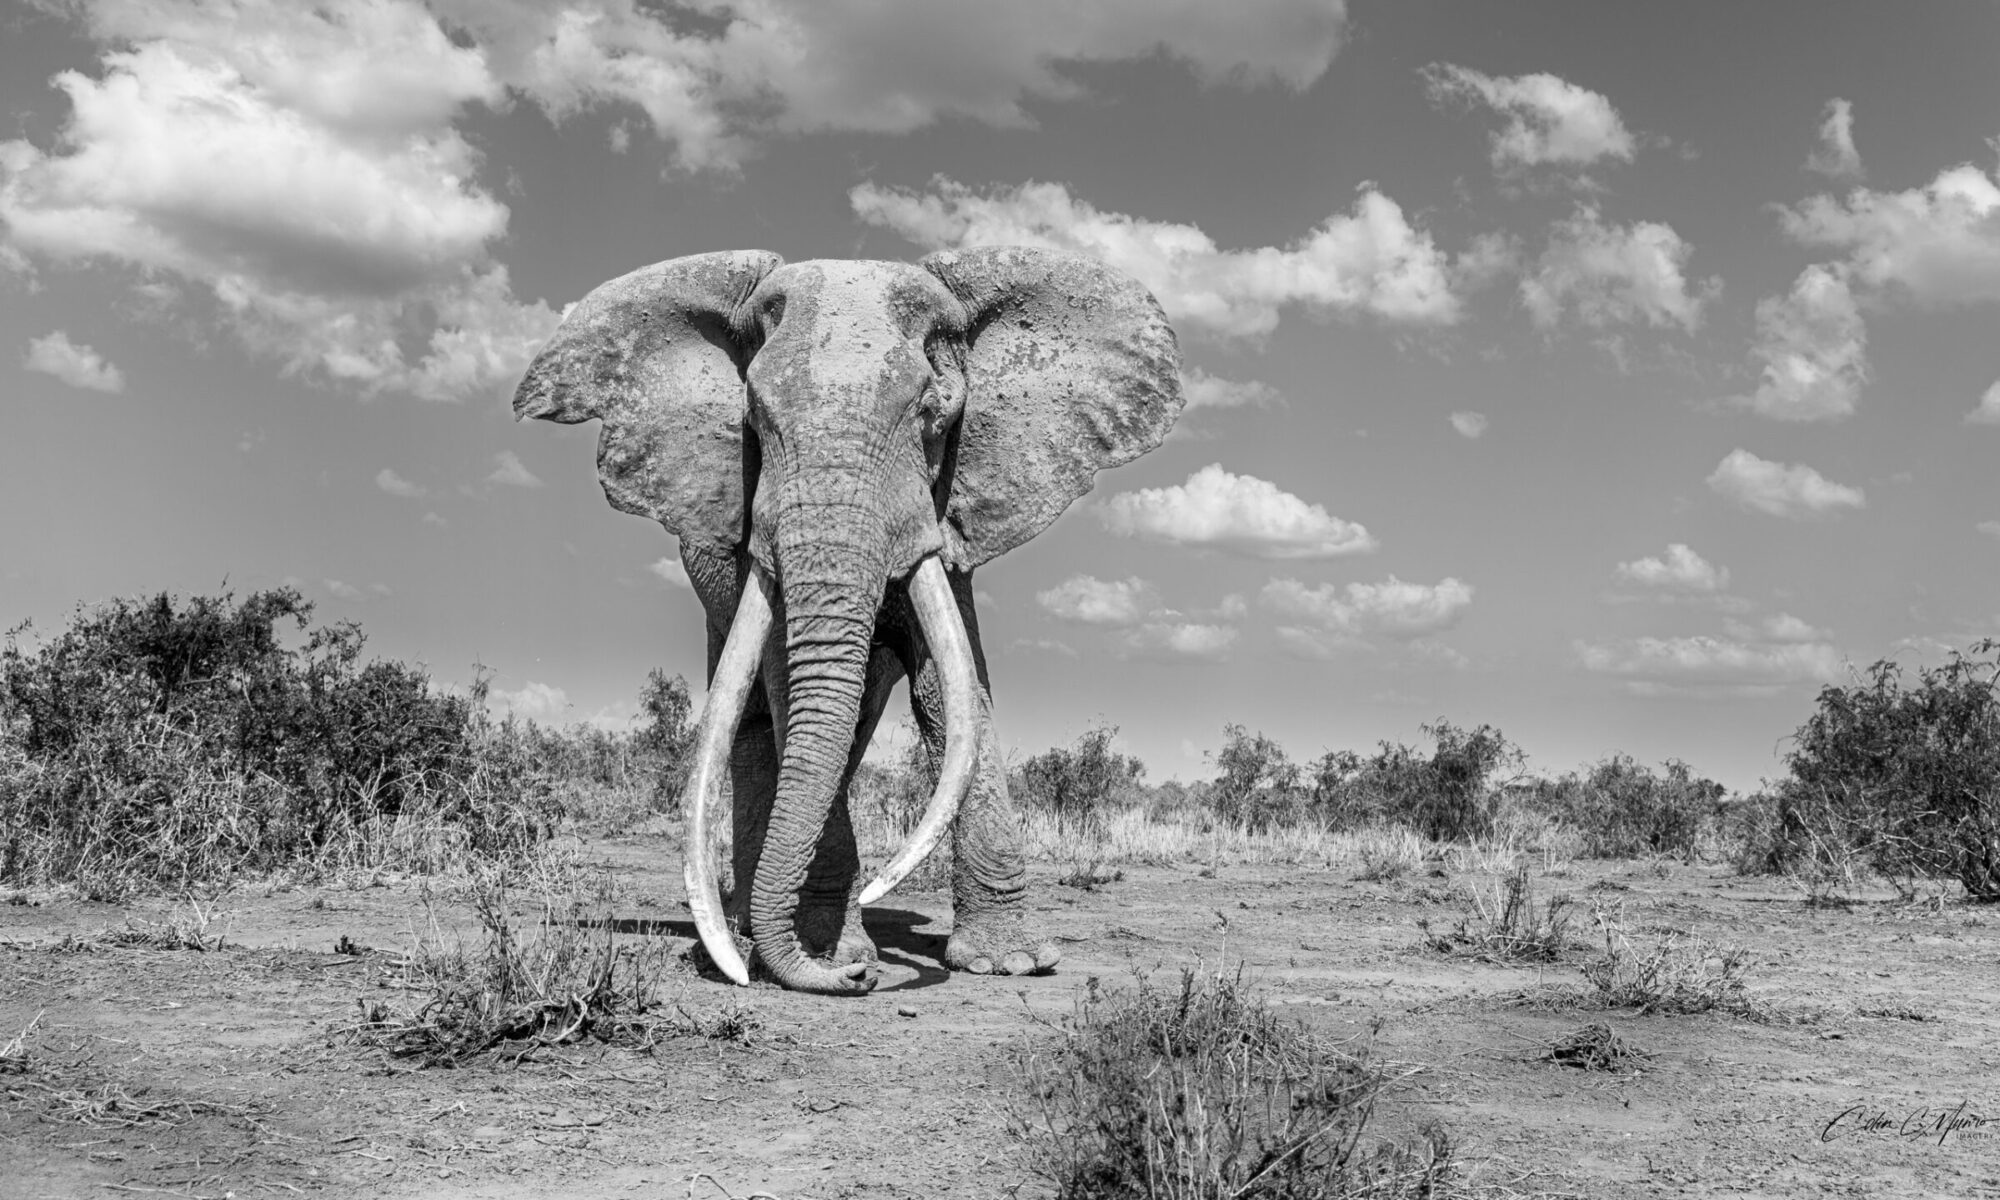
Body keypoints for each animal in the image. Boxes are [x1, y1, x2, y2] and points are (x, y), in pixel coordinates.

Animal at [508, 244, 1184, 992]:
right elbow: (785, 680)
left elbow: (951, 689)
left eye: (933, 415)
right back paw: (747, 929)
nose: (857, 981)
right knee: (752, 721)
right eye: (753, 420)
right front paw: (835, 958)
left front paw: (1011, 964)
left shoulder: (948, 508)